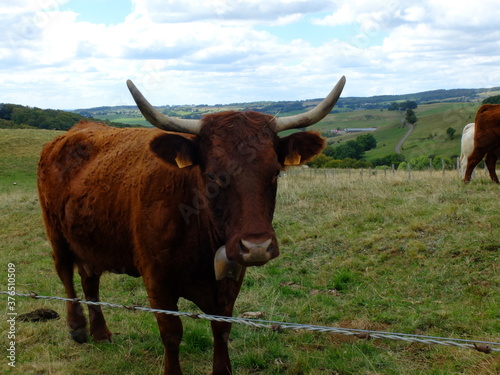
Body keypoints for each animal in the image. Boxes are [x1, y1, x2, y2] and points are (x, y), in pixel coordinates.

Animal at [37, 77, 346, 375]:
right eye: (212, 175)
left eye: (275, 172)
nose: (257, 247)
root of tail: (74, 131)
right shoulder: (157, 281)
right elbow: (171, 334)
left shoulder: (230, 280)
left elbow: (222, 329)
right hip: (56, 233)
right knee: (65, 272)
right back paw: (77, 328)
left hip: (89, 238)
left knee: (90, 278)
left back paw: (101, 333)